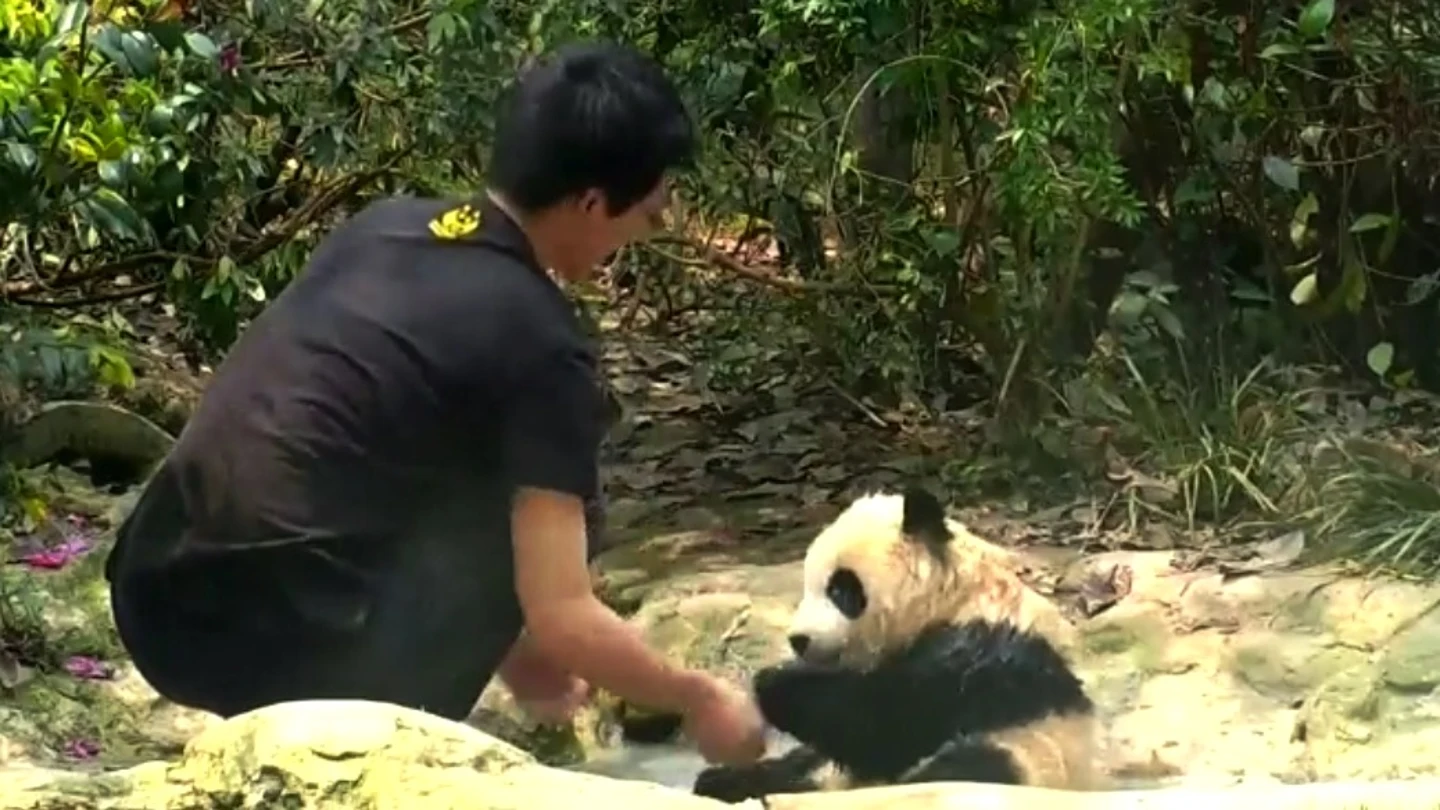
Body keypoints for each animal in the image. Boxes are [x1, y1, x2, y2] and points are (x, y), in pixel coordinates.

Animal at [691, 486, 1100, 802]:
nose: (799, 640)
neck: (956, 600)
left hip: (1035, 754)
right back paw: (722, 781)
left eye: (840, 590)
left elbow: (889, 722)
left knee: (969, 767)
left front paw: (776, 682)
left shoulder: (990, 652)